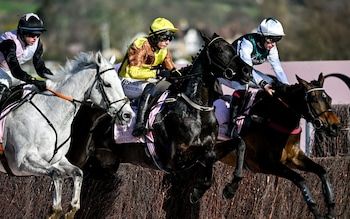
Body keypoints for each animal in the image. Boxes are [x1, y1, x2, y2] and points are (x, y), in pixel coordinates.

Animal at [67, 33, 253, 204]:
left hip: (105, 164)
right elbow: (208, 155)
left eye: (234, 49)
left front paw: (231, 188)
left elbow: (239, 144)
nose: (247, 71)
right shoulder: (173, 159)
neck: (195, 111)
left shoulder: (210, 145)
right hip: (78, 156)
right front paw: (198, 191)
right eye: (219, 50)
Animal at [216, 72, 342, 218]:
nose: (335, 127)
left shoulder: (293, 158)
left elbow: (322, 170)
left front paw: (331, 207)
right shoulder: (267, 164)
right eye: (313, 99)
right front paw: (315, 210)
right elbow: (300, 179)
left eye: (329, 98)